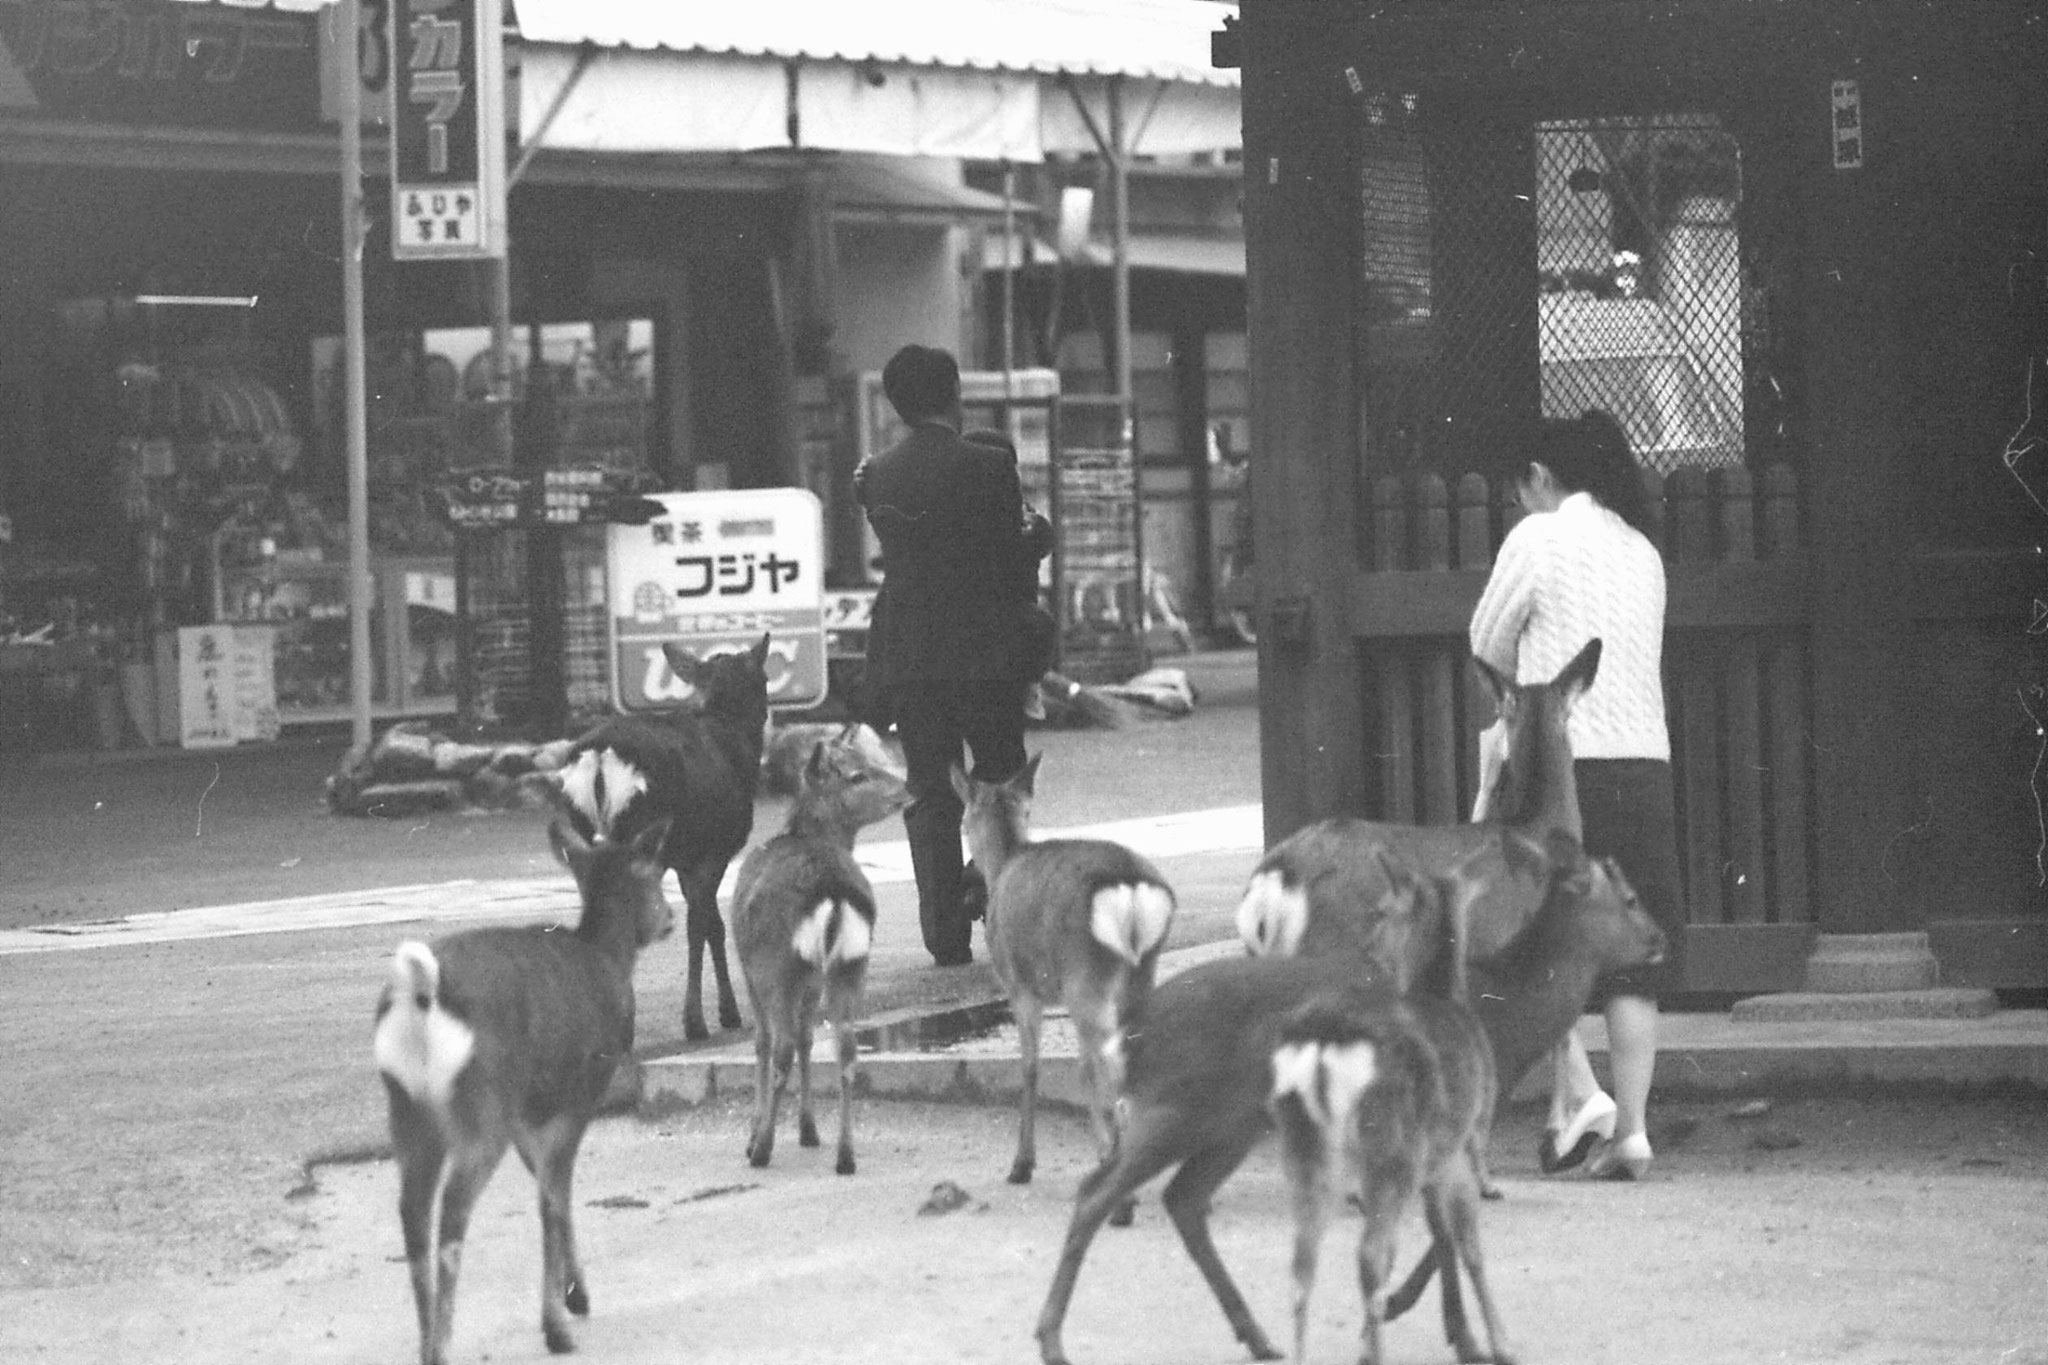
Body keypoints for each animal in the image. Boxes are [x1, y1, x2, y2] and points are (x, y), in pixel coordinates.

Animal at [372, 749, 675, 1365]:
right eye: (657, 873)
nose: (670, 918)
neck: (608, 956)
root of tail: (420, 991)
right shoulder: (581, 1090)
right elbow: (553, 1200)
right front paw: (559, 1320)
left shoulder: (527, 1113)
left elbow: (549, 1190)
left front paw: (575, 1294)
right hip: (478, 1101)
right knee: (451, 1215)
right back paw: (443, 1344)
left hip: (409, 1108)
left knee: (413, 1215)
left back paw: (427, 1342)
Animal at [561, 634, 770, 1039]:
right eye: (765, 679)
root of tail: (600, 757)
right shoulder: (713, 848)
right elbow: (700, 925)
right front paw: (700, 1019)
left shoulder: (687, 858)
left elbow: (712, 924)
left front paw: (726, 1012)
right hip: (639, 835)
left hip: (582, 838)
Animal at [729, 724, 905, 1178]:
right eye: (859, 773)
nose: (908, 787)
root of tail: (833, 891)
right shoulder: (811, 979)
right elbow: (811, 1039)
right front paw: (809, 1130)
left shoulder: (749, 969)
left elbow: (763, 1042)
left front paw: (755, 1133)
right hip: (851, 963)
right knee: (845, 1047)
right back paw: (845, 1155)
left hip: (777, 964)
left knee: (782, 1047)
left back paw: (762, 1148)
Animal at [950, 757, 1179, 1203]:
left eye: (962, 819)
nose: (967, 873)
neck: (1004, 863)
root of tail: (1131, 889)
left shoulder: (1019, 985)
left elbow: (1031, 1067)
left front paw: (1022, 1164)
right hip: (1140, 970)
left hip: (1085, 976)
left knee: (1105, 1065)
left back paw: (1116, 1174)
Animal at [1032, 834, 1671, 1365]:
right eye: (1631, 898)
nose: (1660, 941)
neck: (1507, 1026)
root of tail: (1132, 1032)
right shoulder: (1460, 1128)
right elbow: (1446, 1233)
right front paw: (1418, 1312)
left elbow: (1440, 1231)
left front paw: (1443, 1325)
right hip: (1177, 1106)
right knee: (1097, 1192)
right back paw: (1053, 1337)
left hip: (1231, 1122)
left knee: (1184, 1199)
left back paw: (1258, 1336)